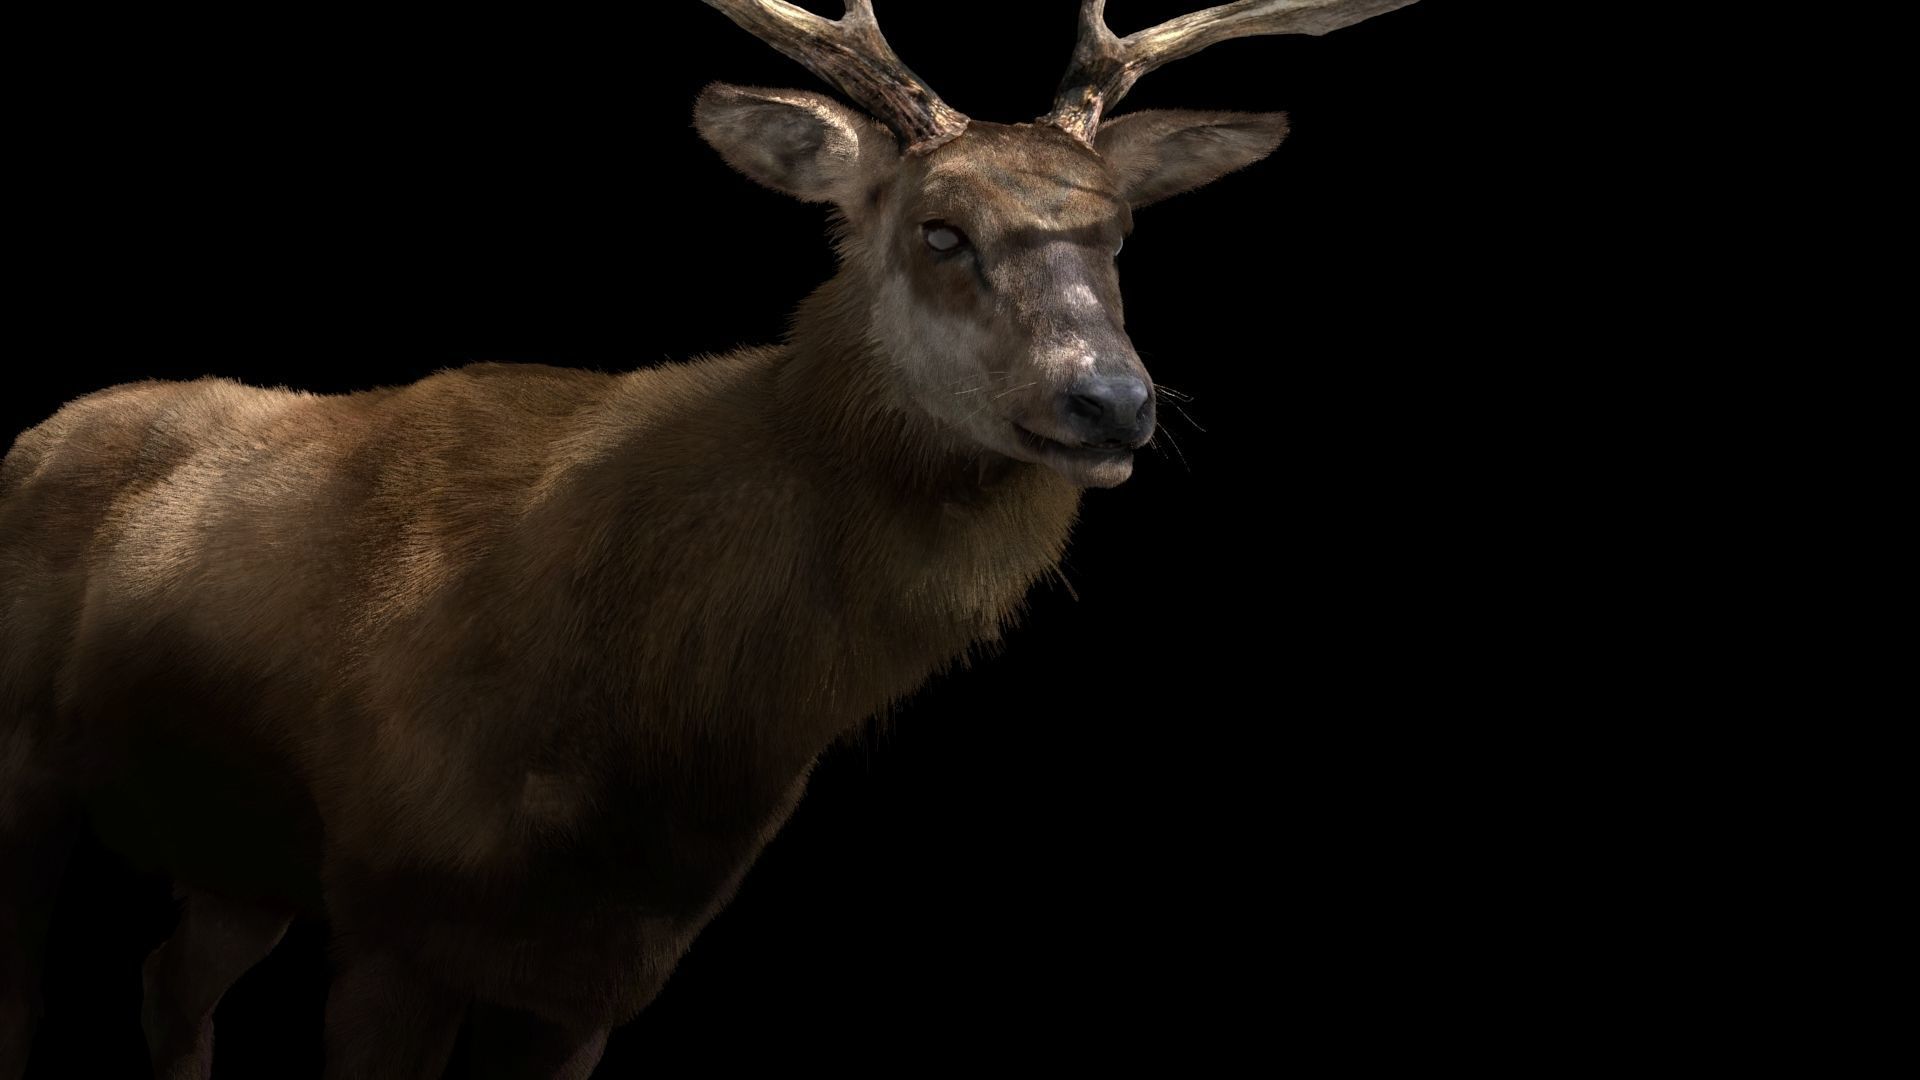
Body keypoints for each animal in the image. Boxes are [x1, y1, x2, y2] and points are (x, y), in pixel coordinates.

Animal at [0, 1, 1418, 1076]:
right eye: (938, 228)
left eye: (1120, 232)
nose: (1113, 401)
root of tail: (28, 439)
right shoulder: (394, 912)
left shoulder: (600, 969)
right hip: (31, 776)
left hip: (234, 859)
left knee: (165, 980)